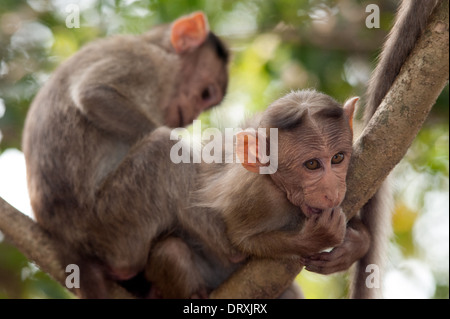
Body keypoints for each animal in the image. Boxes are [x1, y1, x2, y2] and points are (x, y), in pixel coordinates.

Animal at [21, 11, 230, 298]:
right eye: (206, 93)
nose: (192, 117)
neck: (154, 44)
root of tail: (67, 242)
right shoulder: (149, 62)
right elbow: (95, 94)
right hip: (111, 222)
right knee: (165, 149)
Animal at [144, 90, 362, 300]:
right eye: (312, 164)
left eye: (337, 158)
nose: (333, 192)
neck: (280, 188)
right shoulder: (256, 195)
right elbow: (241, 239)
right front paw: (316, 237)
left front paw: (352, 249)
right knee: (171, 251)